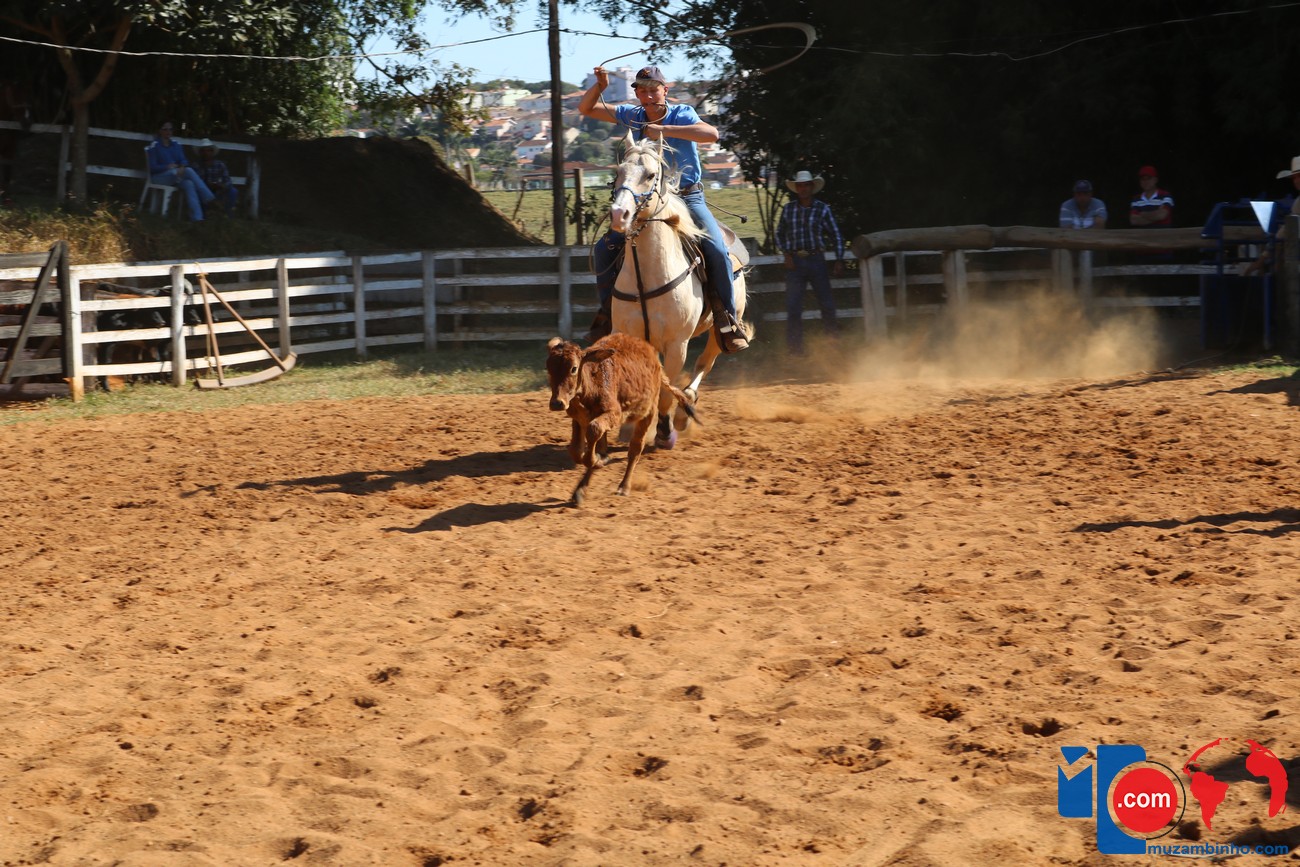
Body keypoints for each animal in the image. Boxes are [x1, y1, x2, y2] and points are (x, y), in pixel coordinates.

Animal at [546, 332, 698, 506]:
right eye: (549, 368)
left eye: (573, 368)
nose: (557, 403)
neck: (592, 385)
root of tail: (656, 360)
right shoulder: (579, 418)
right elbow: (576, 451)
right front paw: (597, 462)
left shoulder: (614, 414)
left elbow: (594, 431)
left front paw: (598, 461)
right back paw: (580, 490)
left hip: (648, 412)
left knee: (635, 450)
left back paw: (624, 486)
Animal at [607, 138, 749, 448]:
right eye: (618, 171)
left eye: (650, 174)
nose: (619, 215)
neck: (647, 276)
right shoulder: (630, 338)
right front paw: (628, 426)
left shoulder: (677, 344)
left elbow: (666, 391)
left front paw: (663, 430)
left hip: (720, 329)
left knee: (704, 363)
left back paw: (685, 411)